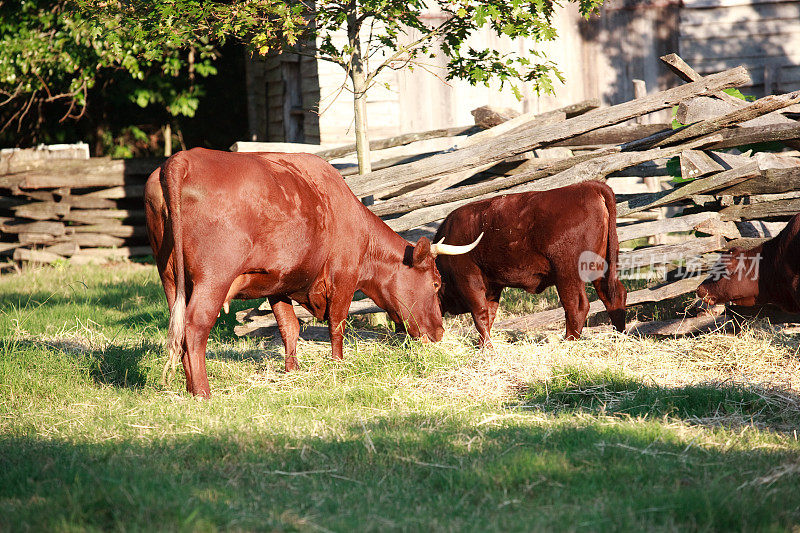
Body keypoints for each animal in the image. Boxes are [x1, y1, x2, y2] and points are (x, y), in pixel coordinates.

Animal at [145, 148, 482, 396]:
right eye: (436, 284)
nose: (439, 333)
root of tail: (181, 159)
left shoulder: (279, 284)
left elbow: (289, 328)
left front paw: (292, 371)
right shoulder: (344, 276)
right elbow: (337, 324)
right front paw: (338, 365)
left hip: (170, 278)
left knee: (179, 329)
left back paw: (189, 386)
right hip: (213, 279)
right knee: (194, 326)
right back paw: (202, 392)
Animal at [434, 179, 628, 344]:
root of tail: (590, 186)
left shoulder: (469, 279)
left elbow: (480, 315)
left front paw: (486, 348)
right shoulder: (493, 286)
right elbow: (489, 315)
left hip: (568, 273)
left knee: (576, 306)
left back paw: (568, 342)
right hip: (600, 268)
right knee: (614, 297)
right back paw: (619, 337)